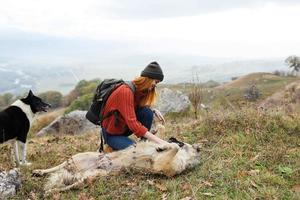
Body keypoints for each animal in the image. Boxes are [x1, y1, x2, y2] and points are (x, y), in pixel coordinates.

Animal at [32, 138, 200, 195]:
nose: (199, 147)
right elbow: (172, 146)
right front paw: (163, 145)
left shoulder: (161, 165)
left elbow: (174, 148)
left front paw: (166, 146)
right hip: (80, 156)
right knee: (58, 166)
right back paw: (39, 172)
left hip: (92, 176)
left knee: (71, 185)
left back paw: (50, 191)